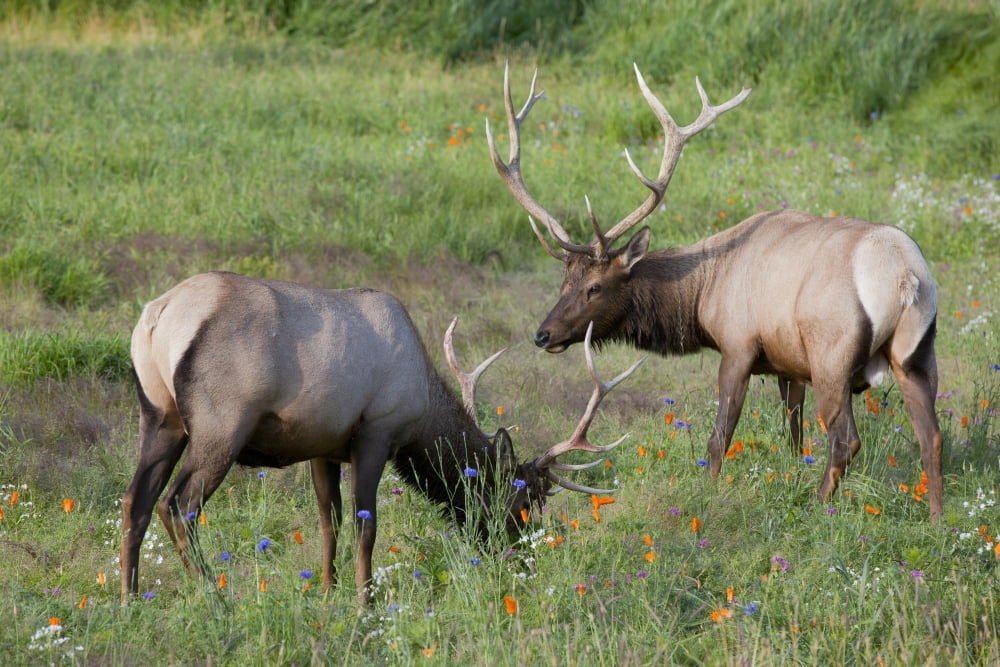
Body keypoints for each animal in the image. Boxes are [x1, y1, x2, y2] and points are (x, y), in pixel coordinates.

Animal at [120, 271, 642, 603]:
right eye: (524, 499)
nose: (525, 560)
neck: (423, 413)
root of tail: (156, 317)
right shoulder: (376, 432)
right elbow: (365, 527)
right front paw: (363, 603)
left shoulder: (323, 447)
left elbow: (327, 522)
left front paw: (327, 593)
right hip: (221, 425)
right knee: (178, 505)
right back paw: (213, 594)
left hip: (160, 416)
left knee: (135, 500)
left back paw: (128, 600)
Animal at [487, 64, 944, 521]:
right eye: (564, 281)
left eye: (594, 287)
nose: (542, 334)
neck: (702, 296)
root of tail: (905, 275)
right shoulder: (789, 363)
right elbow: (793, 432)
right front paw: (792, 470)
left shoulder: (738, 345)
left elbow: (719, 436)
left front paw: (707, 492)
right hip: (916, 353)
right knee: (931, 436)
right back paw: (938, 518)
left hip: (833, 355)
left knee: (846, 439)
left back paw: (818, 506)